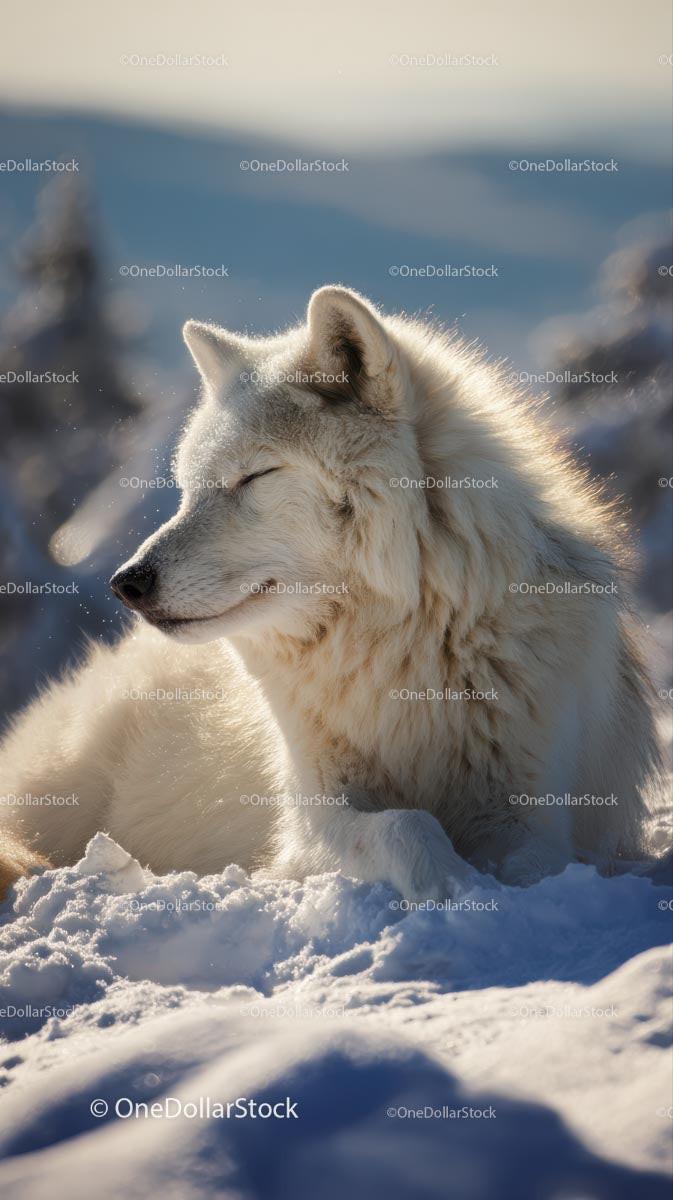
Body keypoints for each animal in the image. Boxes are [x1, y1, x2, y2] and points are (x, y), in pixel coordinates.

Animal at [0, 286, 662, 902]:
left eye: (253, 477)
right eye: (188, 488)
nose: (126, 583)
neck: (402, 647)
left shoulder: (536, 812)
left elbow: (532, 866)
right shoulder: (311, 822)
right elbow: (404, 824)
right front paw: (452, 886)